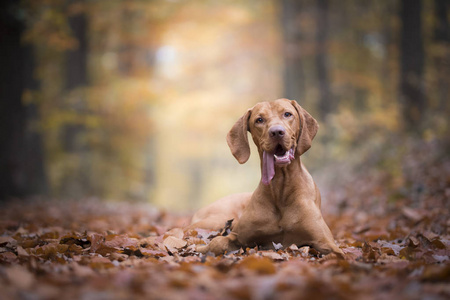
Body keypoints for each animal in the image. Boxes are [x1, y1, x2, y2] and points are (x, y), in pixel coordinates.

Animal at [191, 99, 344, 258]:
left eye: (287, 114)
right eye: (259, 120)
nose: (276, 132)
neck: (280, 188)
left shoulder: (326, 243)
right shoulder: (237, 236)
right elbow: (215, 243)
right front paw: (202, 250)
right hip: (216, 219)